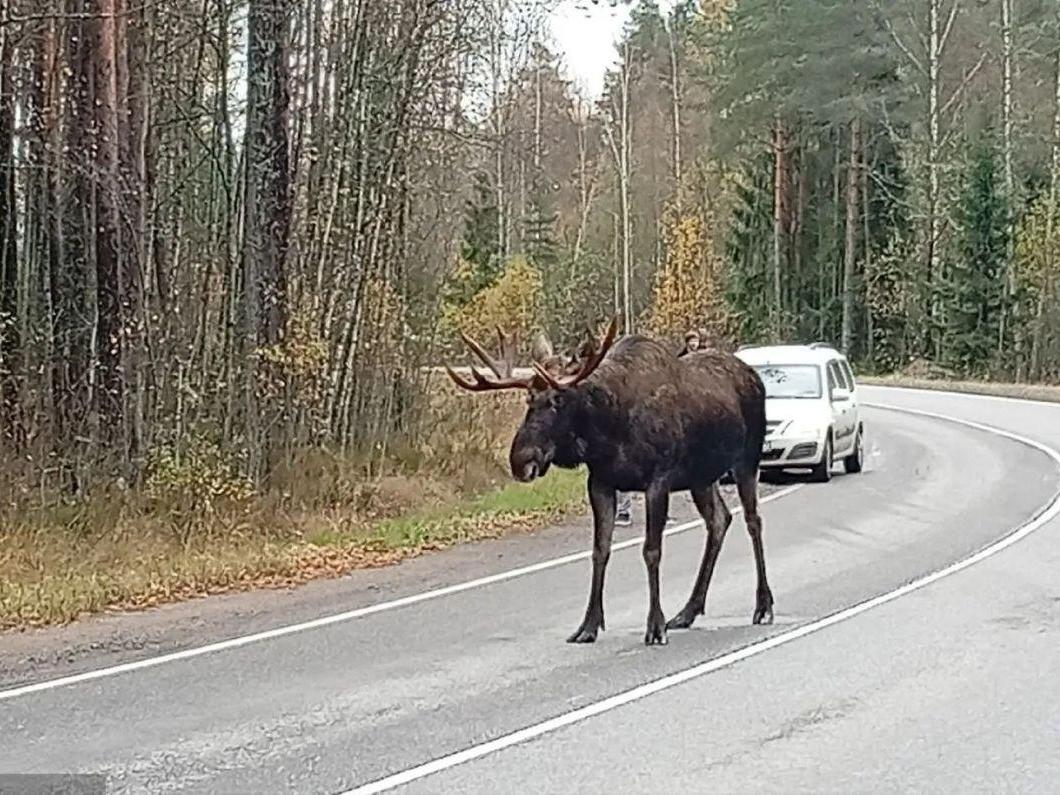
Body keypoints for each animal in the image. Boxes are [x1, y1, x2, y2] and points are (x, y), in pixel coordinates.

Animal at [445, 318, 773, 646]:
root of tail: (755, 377)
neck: (608, 430)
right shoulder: (600, 483)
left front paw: (655, 625)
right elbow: (599, 551)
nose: (520, 459)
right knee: (719, 519)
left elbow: (651, 551)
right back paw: (687, 611)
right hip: (701, 478)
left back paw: (763, 605)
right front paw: (588, 625)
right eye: (529, 399)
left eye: (557, 399)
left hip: (746, 460)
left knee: (753, 521)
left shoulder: (658, 480)